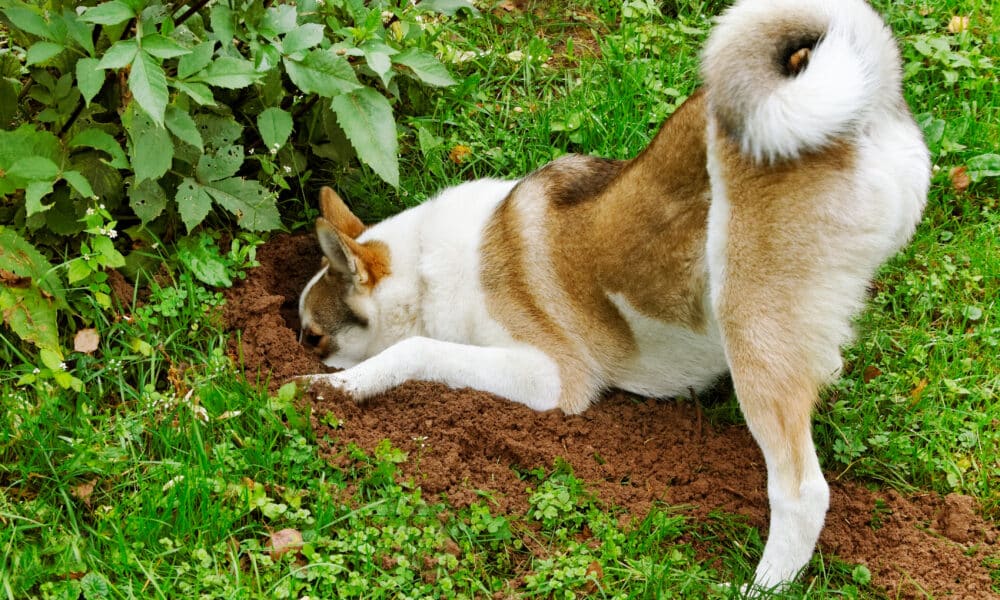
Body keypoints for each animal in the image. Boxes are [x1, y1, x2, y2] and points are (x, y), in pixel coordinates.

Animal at [294, 0, 928, 592]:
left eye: (313, 336)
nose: (303, 351)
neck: (425, 269)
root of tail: (864, 99)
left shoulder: (552, 377)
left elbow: (415, 350)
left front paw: (333, 389)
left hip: (751, 323)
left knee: (802, 492)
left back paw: (759, 587)